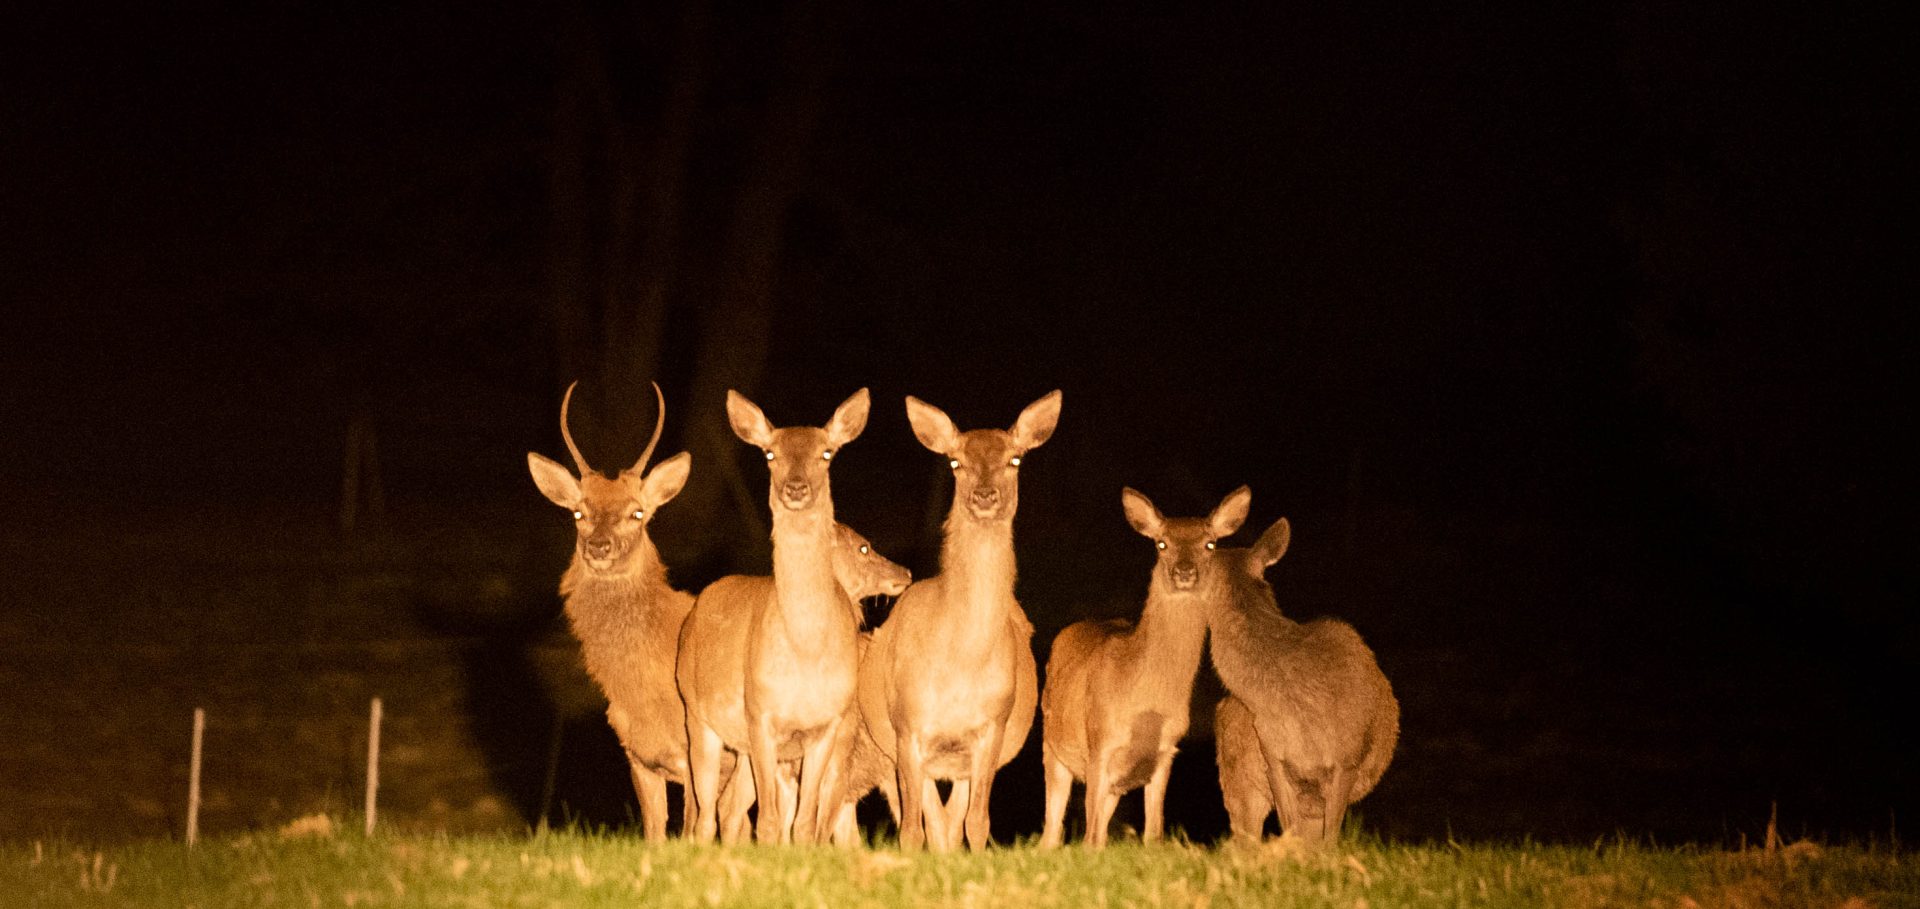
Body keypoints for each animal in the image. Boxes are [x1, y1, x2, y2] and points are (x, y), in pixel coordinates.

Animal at [675, 388, 871, 841]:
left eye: (826, 452)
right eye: (769, 453)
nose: (795, 488)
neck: (806, 653)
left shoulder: (827, 724)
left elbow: (804, 824)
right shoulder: (760, 715)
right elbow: (766, 822)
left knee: (726, 811)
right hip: (698, 715)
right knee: (704, 816)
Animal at [860, 390, 1067, 849]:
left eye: (1014, 459)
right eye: (955, 461)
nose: (985, 496)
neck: (961, 660)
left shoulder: (993, 727)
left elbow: (977, 823)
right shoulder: (908, 725)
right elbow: (912, 829)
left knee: (952, 823)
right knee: (934, 823)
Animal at [1044, 486, 1251, 845]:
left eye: (1210, 544)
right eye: (1161, 543)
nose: (1185, 572)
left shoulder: (1167, 751)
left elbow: (1153, 832)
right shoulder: (1099, 742)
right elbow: (1089, 837)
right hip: (1052, 746)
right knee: (1053, 830)